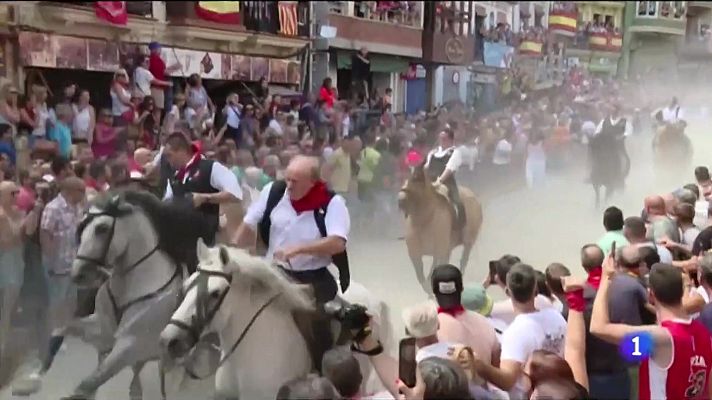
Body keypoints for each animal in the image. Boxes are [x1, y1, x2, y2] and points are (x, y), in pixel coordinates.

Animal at [394, 164, 484, 292]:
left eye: (416, 180)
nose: (400, 200)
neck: (423, 222)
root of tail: (473, 196)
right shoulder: (415, 255)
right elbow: (422, 278)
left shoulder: (440, 251)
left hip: (468, 242)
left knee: (463, 261)